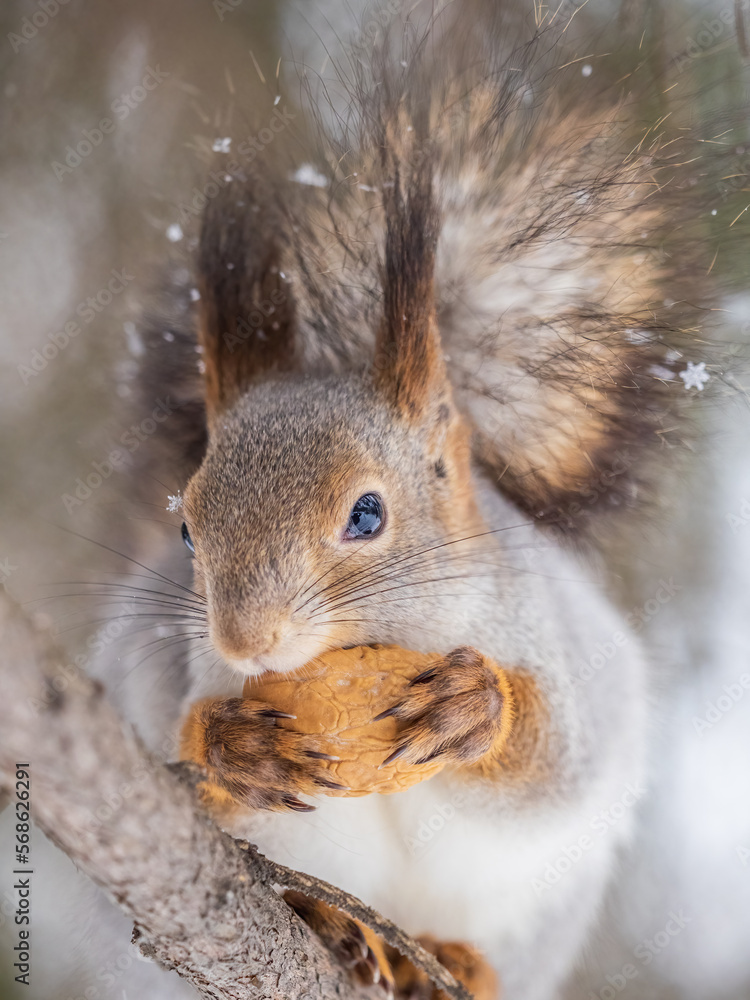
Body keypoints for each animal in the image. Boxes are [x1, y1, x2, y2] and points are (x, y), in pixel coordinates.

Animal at [119, 2, 734, 997]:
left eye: (367, 514)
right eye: (185, 526)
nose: (243, 642)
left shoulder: (559, 644)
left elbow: (552, 758)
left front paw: (477, 708)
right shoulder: (152, 658)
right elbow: (164, 736)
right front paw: (231, 743)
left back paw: (446, 960)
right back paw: (336, 925)